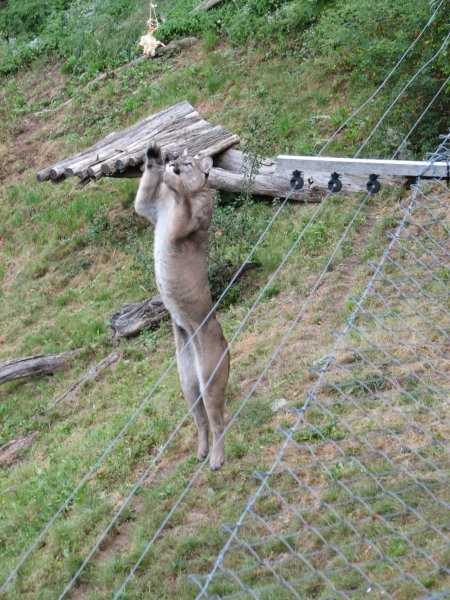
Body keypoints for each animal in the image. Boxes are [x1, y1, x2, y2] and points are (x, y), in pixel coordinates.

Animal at [135, 143, 230, 472]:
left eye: (188, 162)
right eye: (179, 156)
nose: (174, 161)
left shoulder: (184, 223)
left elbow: (186, 202)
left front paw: (172, 178)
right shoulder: (150, 209)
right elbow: (144, 194)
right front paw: (153, 157)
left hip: (209, 380)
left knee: (218, 421)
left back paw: (216, 459)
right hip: (187, 381)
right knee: (201, 421)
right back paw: (201, 453)